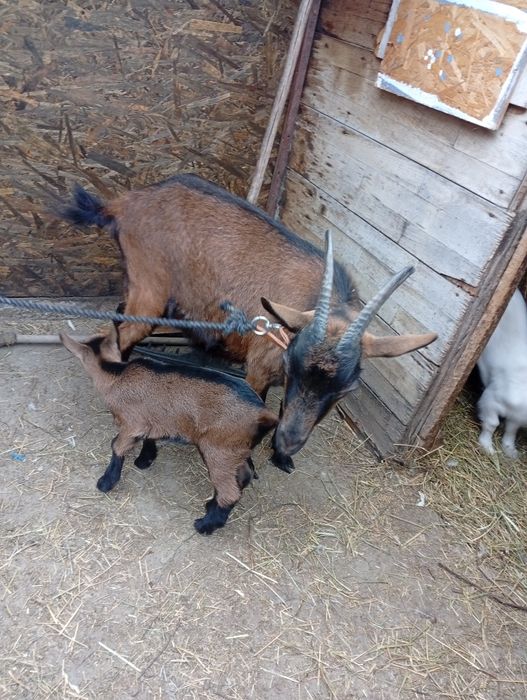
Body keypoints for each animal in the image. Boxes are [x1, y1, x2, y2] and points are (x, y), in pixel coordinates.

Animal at [60, 175, 437, 470]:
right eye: (293, 367)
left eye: (346, 389)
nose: (288, 442)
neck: (313, 298)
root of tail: (124, 203)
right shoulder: (259, 366)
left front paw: (281, 458)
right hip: (150, 287)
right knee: (125, 332)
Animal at [60, 327, 277, 534]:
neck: (116, 374)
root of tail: (264, 413)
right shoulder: (152, 421)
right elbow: (150, 437)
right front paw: (145, 459)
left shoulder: (132, 423)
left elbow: (117, 446)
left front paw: (106, 482)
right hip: (236, 449)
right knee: (244, 475)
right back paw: (211, 506)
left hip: (219, 450)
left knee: (230, 491)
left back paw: (206, 525)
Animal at [477, 289, 527, 459]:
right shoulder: (491, 401)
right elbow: (492, 424)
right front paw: (487, 447)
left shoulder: (517, 417)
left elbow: (511, 430)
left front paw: (510, 450)